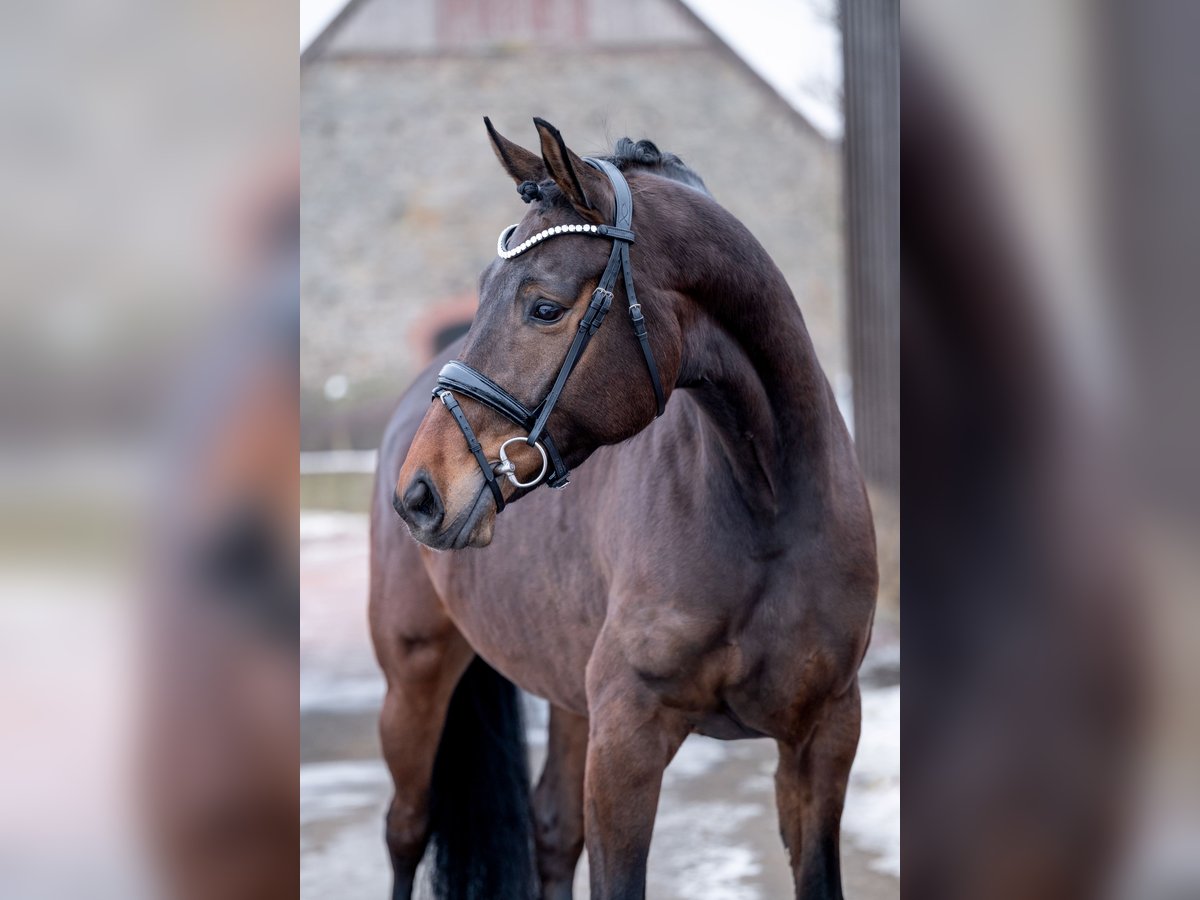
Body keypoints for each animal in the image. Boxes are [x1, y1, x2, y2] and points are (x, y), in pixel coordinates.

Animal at [371, 117, 877, 900]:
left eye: (545, 306)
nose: (421, 493)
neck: (768, 509)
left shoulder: (822, 738)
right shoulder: (627, 742)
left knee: (551, 833)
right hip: (412, 674)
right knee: (406, 829)